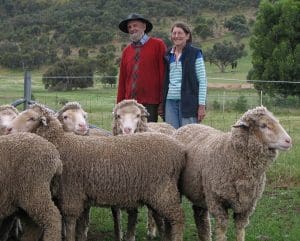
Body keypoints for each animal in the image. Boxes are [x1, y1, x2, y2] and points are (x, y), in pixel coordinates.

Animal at [7, 104, 185, 241]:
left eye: (31, 118)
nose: (8, 129)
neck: (62, 143)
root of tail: (180, 149)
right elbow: (79, 226)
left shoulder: (71, 194)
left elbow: (70, 224)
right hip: (157, 194)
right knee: (164, 220)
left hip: (163, 191)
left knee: (177, 218)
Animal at [172, 107, 292, 241]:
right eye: (263, 125)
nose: (289, 140)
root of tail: (185, 126)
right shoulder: (217, 201)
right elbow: (222, 229)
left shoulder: (246, 205)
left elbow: (240, 229)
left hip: (198, 191)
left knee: (200, 214)